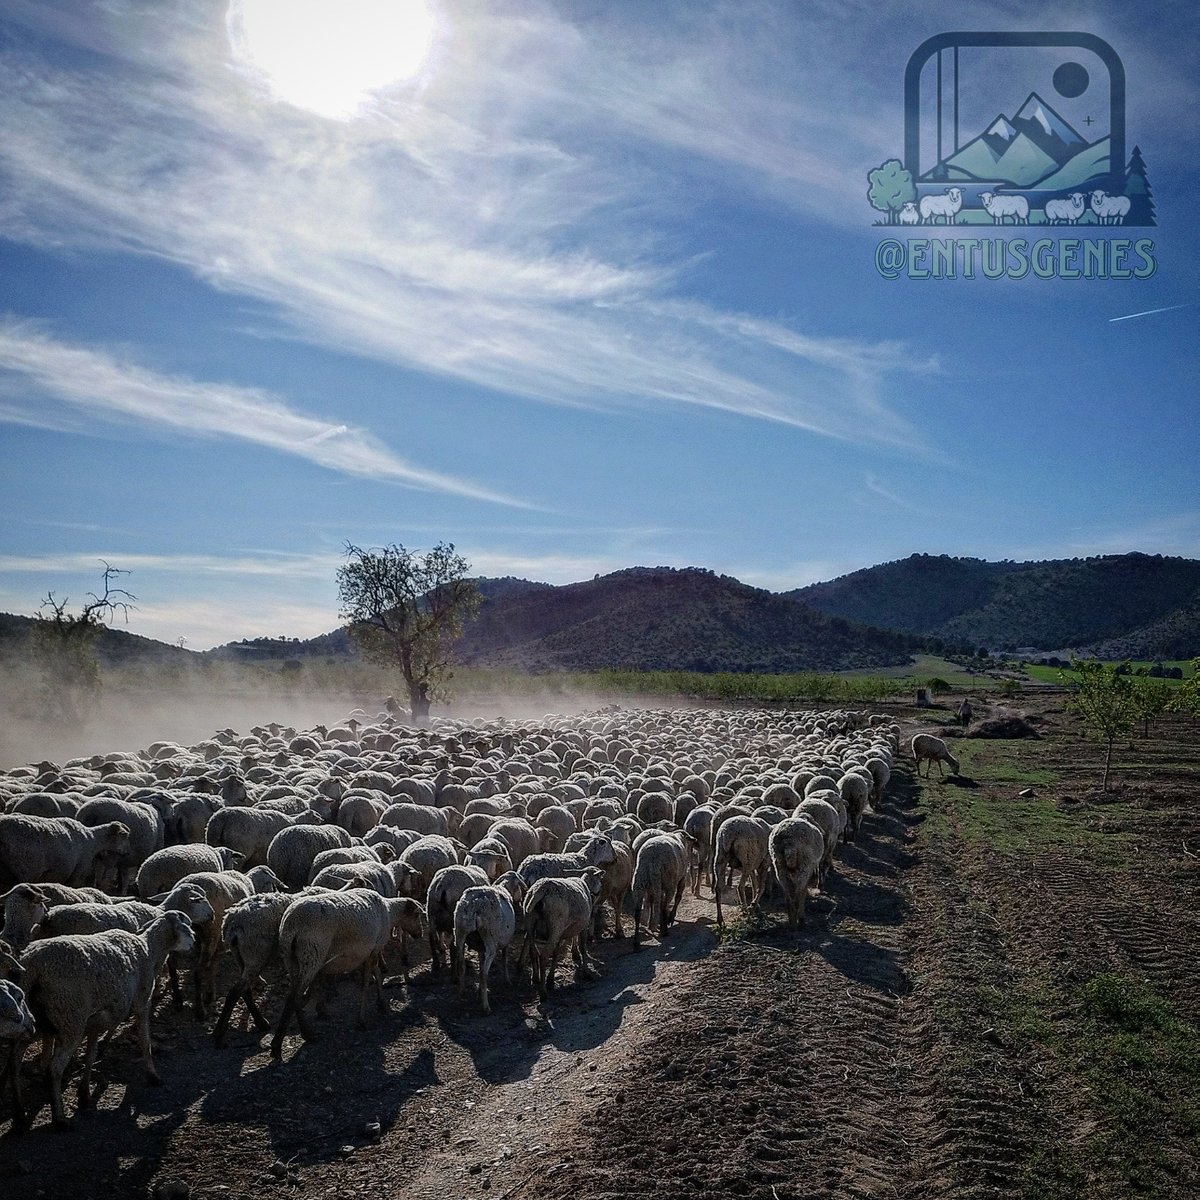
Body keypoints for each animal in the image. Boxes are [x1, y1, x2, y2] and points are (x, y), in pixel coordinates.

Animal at [19, 912, 196, 1128]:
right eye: (186, 927)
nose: (194, 942)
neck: (149, 950)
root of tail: (33, 965)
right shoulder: (142, 1002)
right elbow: (145, 1041)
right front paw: (153, 1075)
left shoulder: (97, 1021)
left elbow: (91, 1053)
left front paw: (84, 1092)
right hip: (71, 1017)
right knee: (55, 1068)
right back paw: (59, 1118)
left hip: (32, 1017)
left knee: (17, 1060)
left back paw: (19, 1110)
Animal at [272, 888, 427, 1056]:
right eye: (417, 914)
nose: (420, 934)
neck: (389, 912)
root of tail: (291, 923)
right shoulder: (372, 950)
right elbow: (366, 982)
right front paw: (362, 1020)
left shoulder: (364, 954)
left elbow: (376, 974)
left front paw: (380, 1002)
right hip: (311, 955)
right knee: (294, 996)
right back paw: (300, 1037)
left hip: (292, 959)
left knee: (294, 994)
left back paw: (284, 1040)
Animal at [520, 868, 604, 998]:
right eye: (600, 879)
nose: (600, 892)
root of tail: (541, 890)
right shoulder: (583, 925)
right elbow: (583, 948)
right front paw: (586, 972)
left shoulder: (562, 933)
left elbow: (556, 953)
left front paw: (551, 978)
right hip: (555, 926)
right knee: (543, 956)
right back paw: (543, 992)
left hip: (531, 922)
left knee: (533, 952)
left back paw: (535, 978)